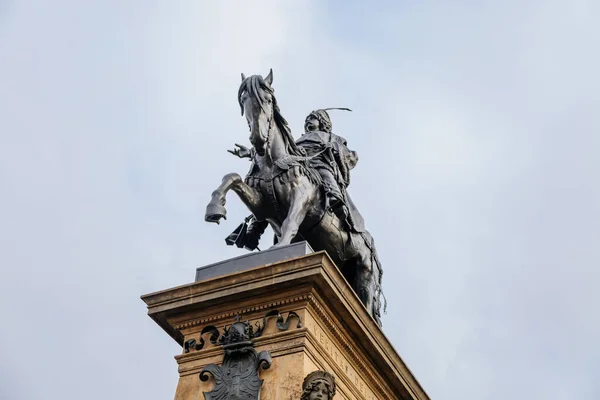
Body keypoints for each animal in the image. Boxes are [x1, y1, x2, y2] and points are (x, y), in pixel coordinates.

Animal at [206, 70, 384, 326]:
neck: (273, 162)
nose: (257, 140)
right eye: (243, 101)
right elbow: (232, 178)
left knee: (367, 310)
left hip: (365, 274)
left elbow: (290, 223)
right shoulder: (262, 208)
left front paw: (279, 248)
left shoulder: (301, 200)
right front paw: (215, 208)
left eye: (268, 100)